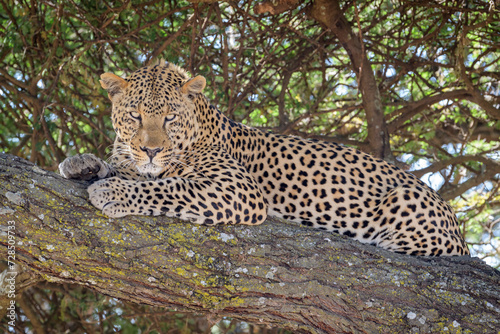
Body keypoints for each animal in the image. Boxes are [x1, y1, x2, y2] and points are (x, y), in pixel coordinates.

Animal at [58, 60, 468, 258]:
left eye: (170, 118)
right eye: (135, 116)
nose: (152, 149)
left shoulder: (235, 188)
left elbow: (169, 187)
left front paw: (113, 192)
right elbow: (127, 168)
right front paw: (81, 163)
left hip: (406, 202)